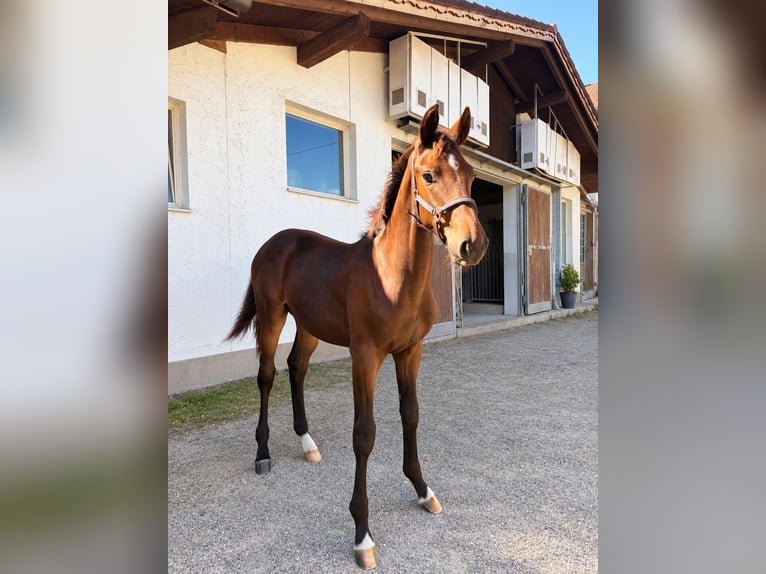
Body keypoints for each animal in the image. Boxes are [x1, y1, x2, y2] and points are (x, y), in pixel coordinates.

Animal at [226, 103, 488, 570]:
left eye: (473, 174)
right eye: (429, 175)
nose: (471, 246)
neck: (392, 276)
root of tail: (274, 242)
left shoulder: (410, 352)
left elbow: (410, 414)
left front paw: (423, 490)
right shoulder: (365, 356)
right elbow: (364, 434)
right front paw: (362, 535)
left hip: (310, 326)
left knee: (296, 369)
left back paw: (307, 443)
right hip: (273, 319)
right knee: (267, 376)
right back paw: (263, 453)